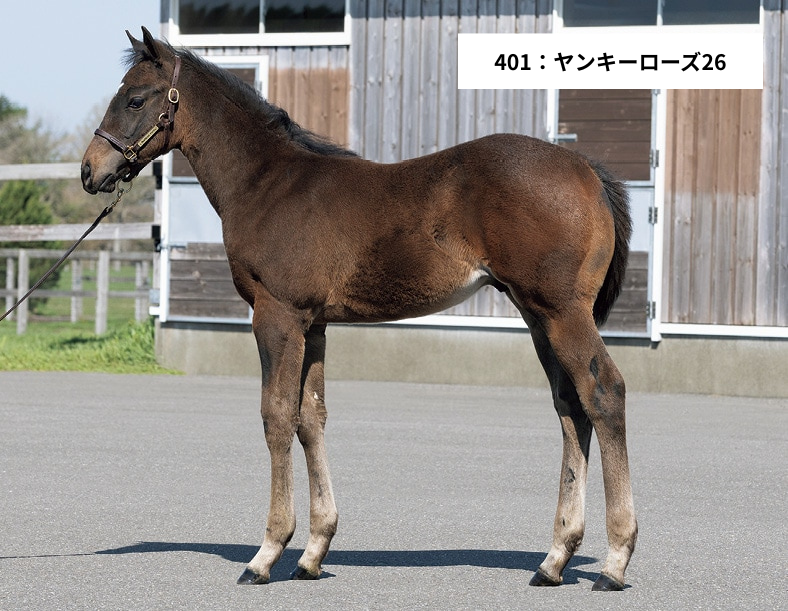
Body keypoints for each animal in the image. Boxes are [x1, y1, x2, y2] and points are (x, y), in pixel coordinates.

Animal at [81, 27, 637, 591]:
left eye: (134, 99)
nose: (89, 170)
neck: (268, 183)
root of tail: (587, 170)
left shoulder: (277, 315)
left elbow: (276, 415)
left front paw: (266, 553)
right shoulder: (314, 324)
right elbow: (311, 418)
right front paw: (313, 552)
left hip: (562, 312)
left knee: (604, 393)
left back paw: (614, 561)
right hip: (537, 316)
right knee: (571, 406)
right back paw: (555, 558)